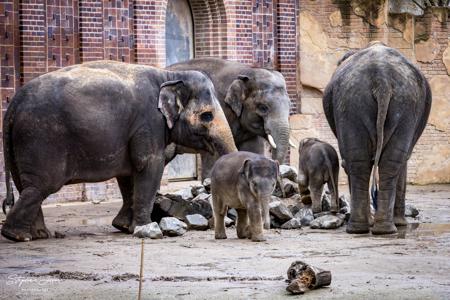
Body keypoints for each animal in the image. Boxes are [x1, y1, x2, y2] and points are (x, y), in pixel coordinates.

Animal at [0, 60, 239, 241]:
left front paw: (124, 227)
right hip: (41, 138)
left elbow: (128, 175)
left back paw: (37, 235)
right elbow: (149, 165)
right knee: (41, 186)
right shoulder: (149, 122)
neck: (170, 75)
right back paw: (18, 236)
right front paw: (148, 230)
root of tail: (13, 104)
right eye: (206, 116)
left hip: (21, 145)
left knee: (28, 187)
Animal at [324, 41, 432, 234]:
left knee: (363, 161)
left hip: (364, 102)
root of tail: (382, 80)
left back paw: (371, 228)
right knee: (382, 161)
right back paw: (378, 229)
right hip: (372, 103)